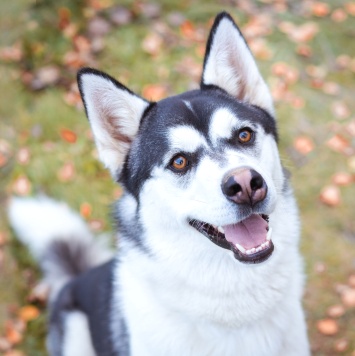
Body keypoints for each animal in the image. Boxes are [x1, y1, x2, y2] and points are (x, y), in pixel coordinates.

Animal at [7, 11, 308, 356]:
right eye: (179, 161)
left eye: (244, 135)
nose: (245, 184)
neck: (233, 298)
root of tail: (77, 275)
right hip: (75, 331)